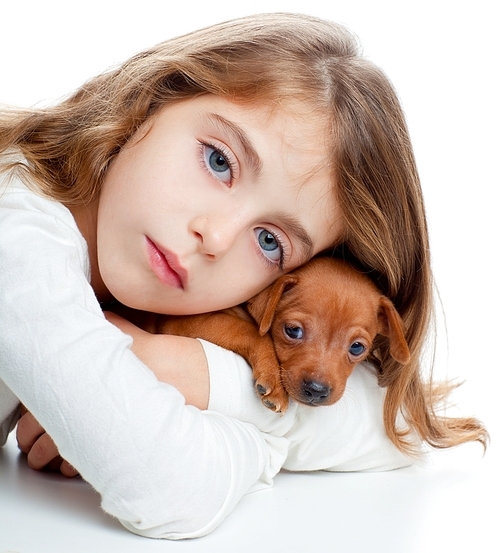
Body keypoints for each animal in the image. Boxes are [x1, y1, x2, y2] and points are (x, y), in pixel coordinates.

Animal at [122, 256, 410, 412]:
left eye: (357, 348)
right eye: (293, 331)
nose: (316, 390)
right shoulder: (182, 322)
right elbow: (248, 329)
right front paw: (274, 380)